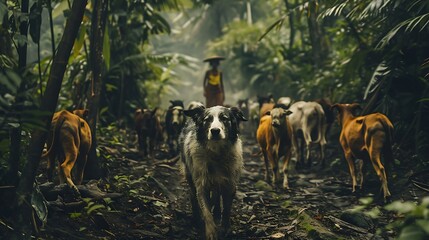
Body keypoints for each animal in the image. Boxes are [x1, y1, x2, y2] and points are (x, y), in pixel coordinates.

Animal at [179, 106, 246, 239]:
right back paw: (197, 218)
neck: (216, 154)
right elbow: (206, 212)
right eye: (207, 119)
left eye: (224, 118)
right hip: (190, 176)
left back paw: (217, 213)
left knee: (216, 194)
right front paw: (211, 232)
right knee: (193, 196)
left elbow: (226, 209)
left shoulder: (230, 184)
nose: (215, 131)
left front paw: (224, 228)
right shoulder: (201, 185)